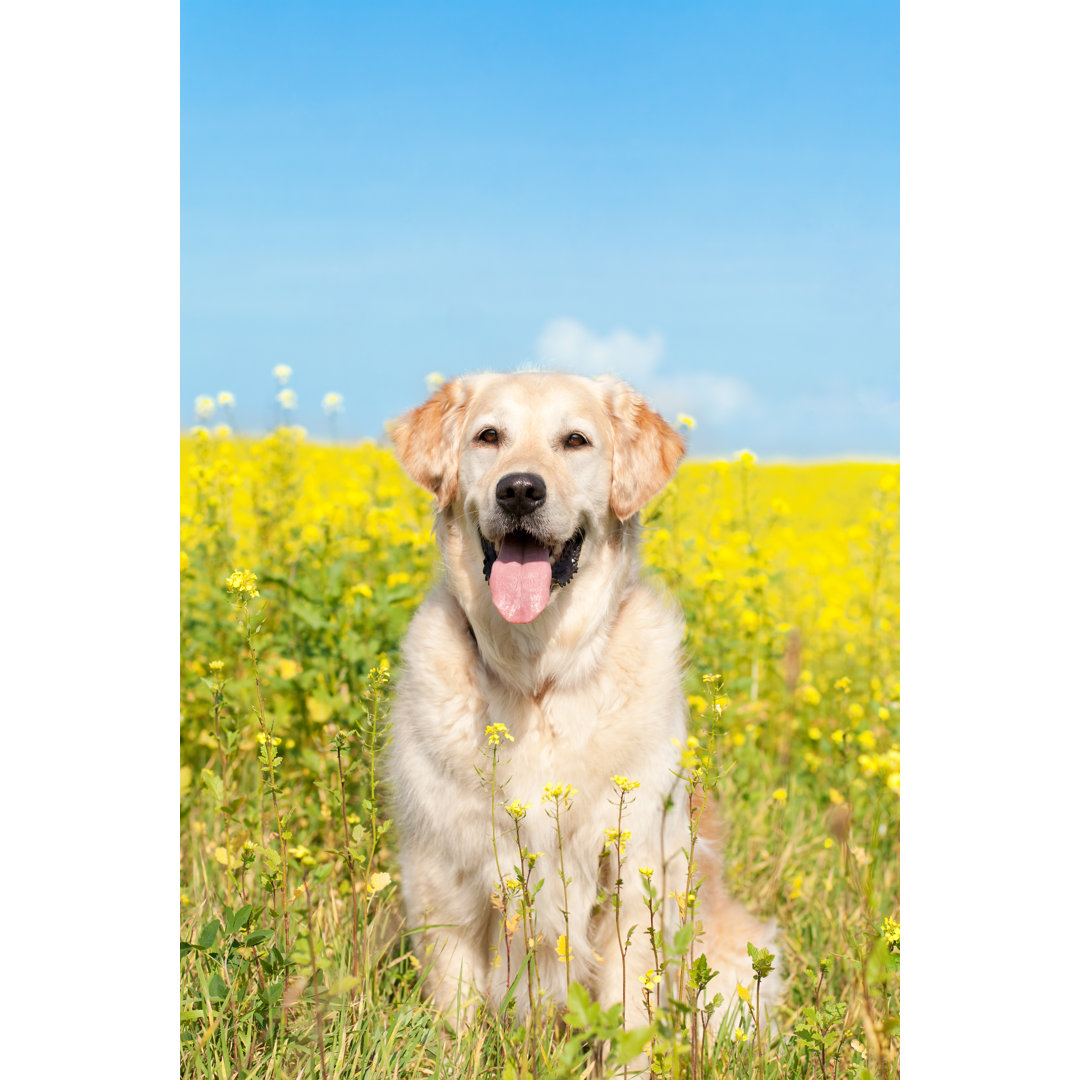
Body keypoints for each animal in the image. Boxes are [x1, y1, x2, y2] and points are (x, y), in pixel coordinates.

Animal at [388, 375, 777, 1032]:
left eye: (575, 440)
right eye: (488, 436)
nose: (519, 490)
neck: (538, 680)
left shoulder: (634, 875)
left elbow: (630, 1014)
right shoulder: (443, 872)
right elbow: (456, 1008)